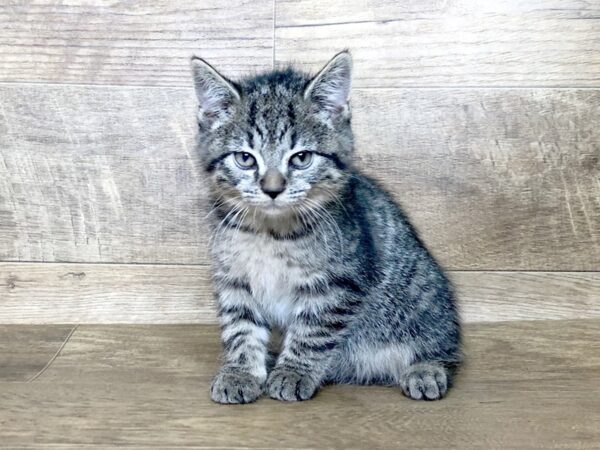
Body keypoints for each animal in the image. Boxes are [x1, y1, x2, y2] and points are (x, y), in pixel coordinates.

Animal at [190, 50, 462, 404]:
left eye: (301, 158)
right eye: (245, 159)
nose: (272, 189)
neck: (270, 232)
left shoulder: (337, 284)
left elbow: (312, 332)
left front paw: (293, 373)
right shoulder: (234, 278)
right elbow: (240, 327)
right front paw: (241, 372)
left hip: (423, 300)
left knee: (441, 347)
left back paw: (425, 370)